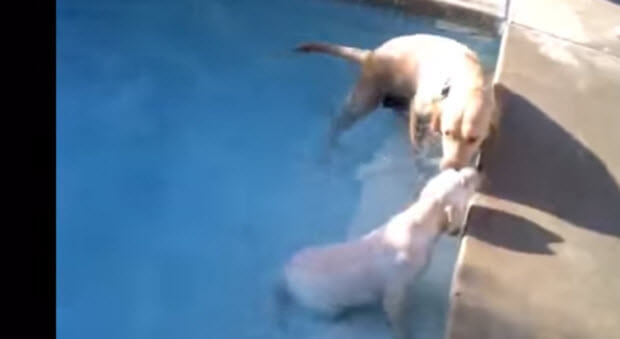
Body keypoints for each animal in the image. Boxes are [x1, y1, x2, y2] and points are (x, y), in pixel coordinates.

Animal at [284, 168, 482, 339]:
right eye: (463, 182)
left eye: (454, 170)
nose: (476, 170)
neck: (420, 225)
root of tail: (287, 269)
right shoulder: (394, 290)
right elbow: (396, 315)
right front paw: (403, 332)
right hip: (322, 303)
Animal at [296, 34, 498, 170]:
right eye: (447, 133)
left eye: (473, 139)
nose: (450, 167)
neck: (466, 79)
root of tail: (371, 54)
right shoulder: (420, 107)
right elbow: (417, 142)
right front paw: (419, 157)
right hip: (364, 100)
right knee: (339, 122)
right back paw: (328, 149)